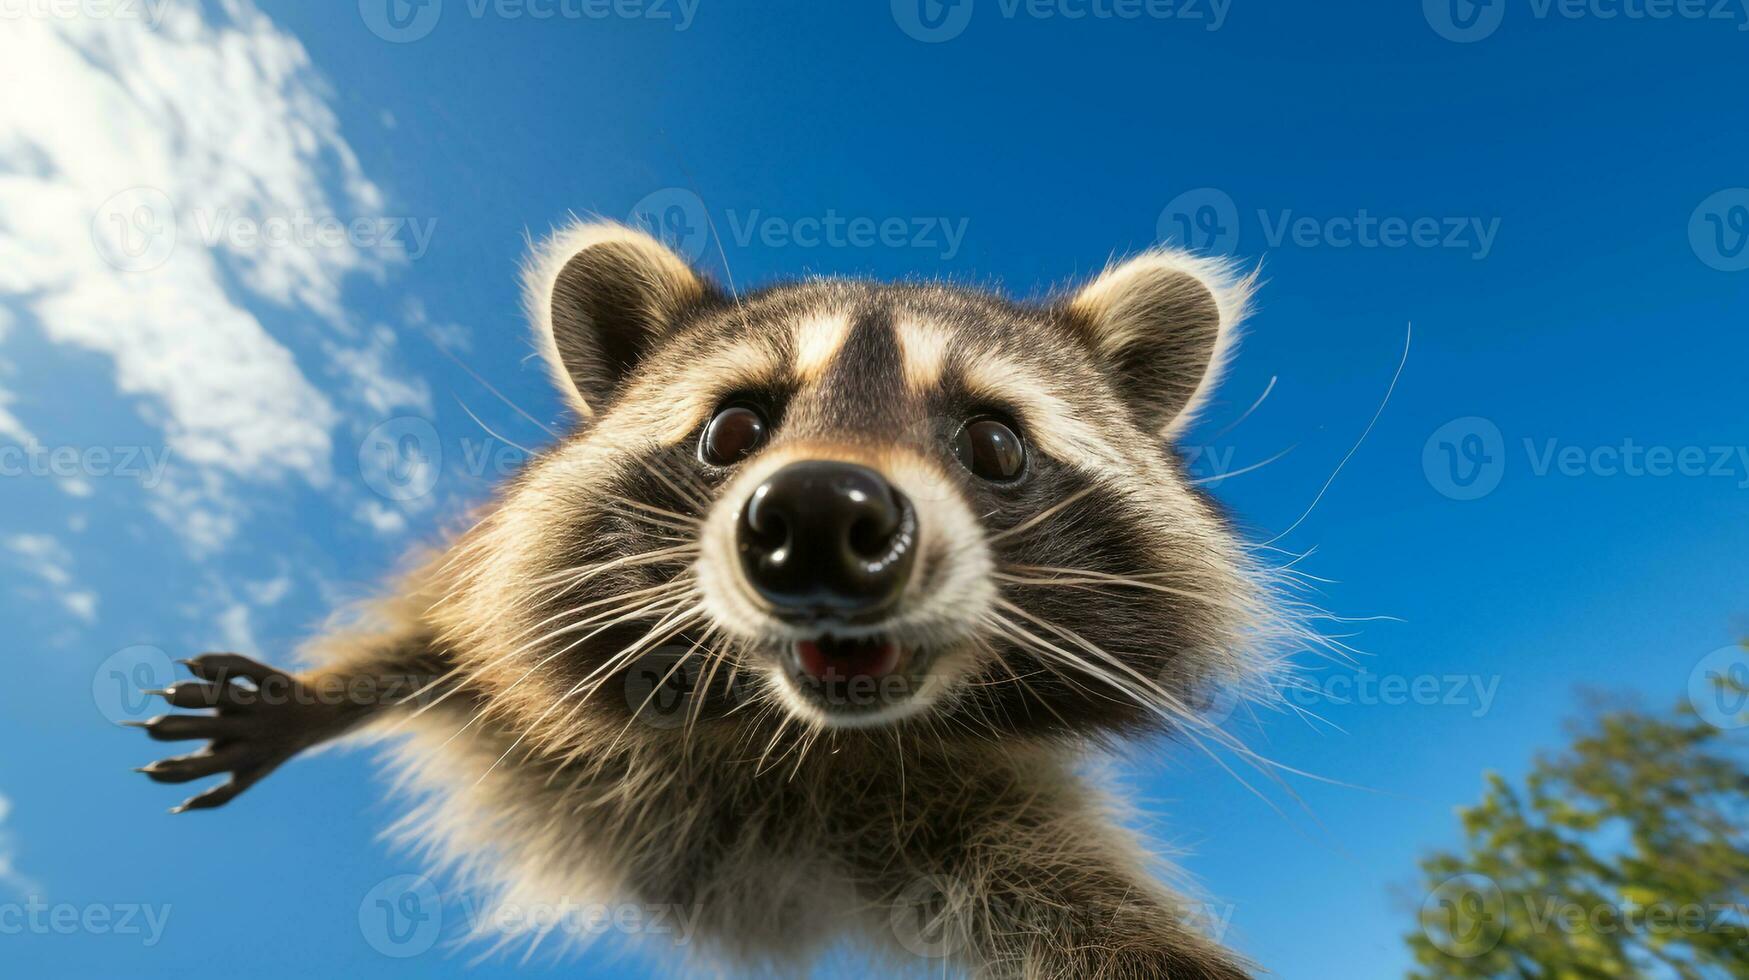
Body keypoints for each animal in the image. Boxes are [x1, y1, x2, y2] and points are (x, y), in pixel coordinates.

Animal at [132, 222, 1287, 980]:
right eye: (734, 428)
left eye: (995, 444)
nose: (818, 517)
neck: (788, 735)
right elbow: (449, 646)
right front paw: (325, 694)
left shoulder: (969, 806)